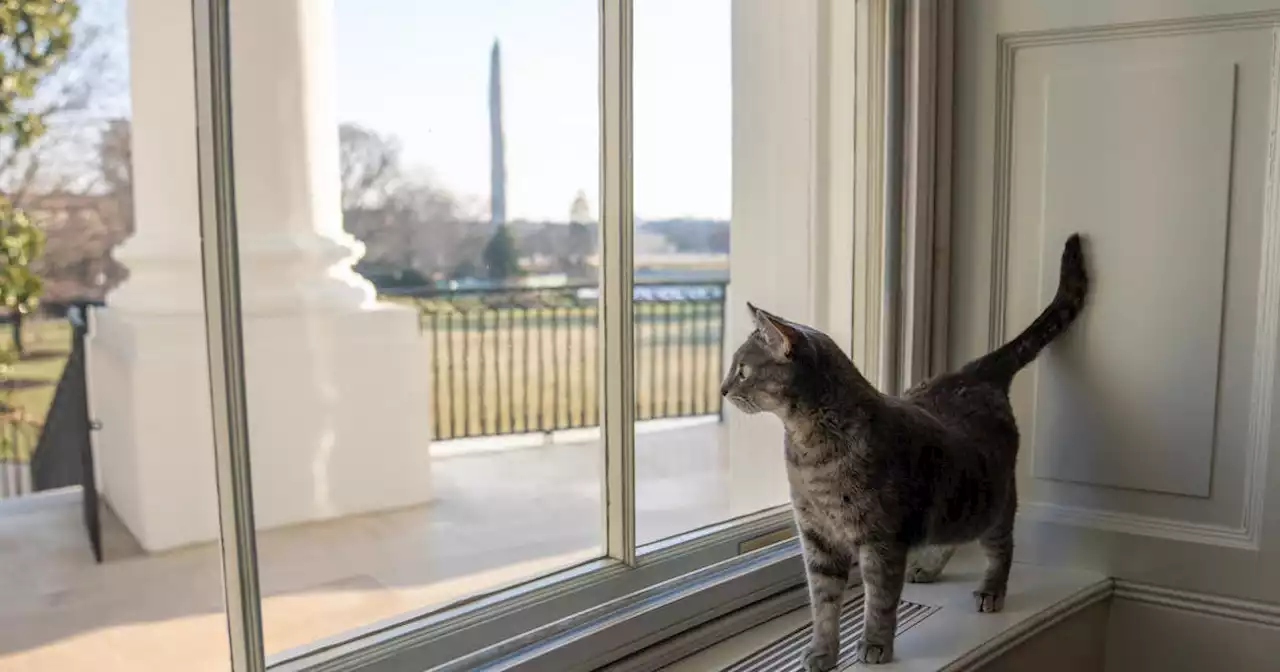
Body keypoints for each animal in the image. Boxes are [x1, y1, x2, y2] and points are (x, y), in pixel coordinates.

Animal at [721, 234, 1090, 665]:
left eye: (742, 370)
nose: (723, 389)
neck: (807, 448)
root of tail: (974, 372)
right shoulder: (817, 536)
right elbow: (823, 603)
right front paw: (822, 651)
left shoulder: (881, 538)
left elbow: (880, 600)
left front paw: (875, 644)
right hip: (955, 509)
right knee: (952, 538)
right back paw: (929, 567)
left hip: (990, 505)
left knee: (1003, 546)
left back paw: (992, 588)